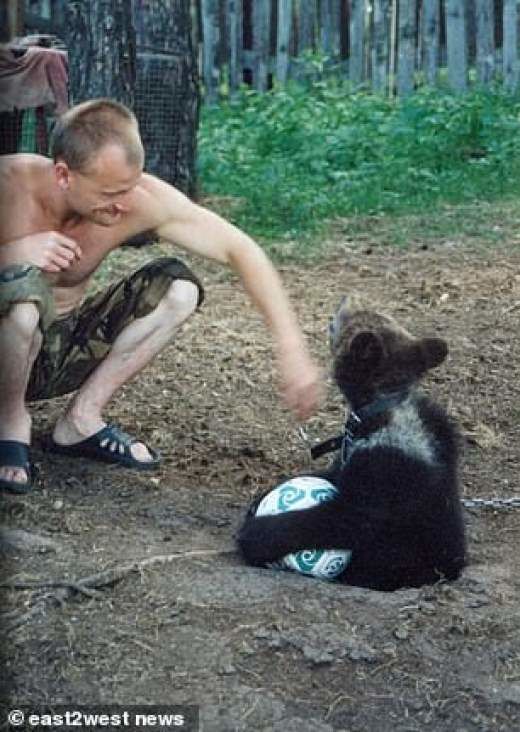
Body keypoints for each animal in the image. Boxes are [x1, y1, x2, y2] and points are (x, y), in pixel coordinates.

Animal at [237, 297, 466, 591]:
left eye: (353, 320)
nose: (342, 304)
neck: (375, 409)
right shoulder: (352, 449)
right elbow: (331, 473)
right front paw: (261, 496)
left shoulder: (388, 467)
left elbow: (349, 518)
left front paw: (255, 534)